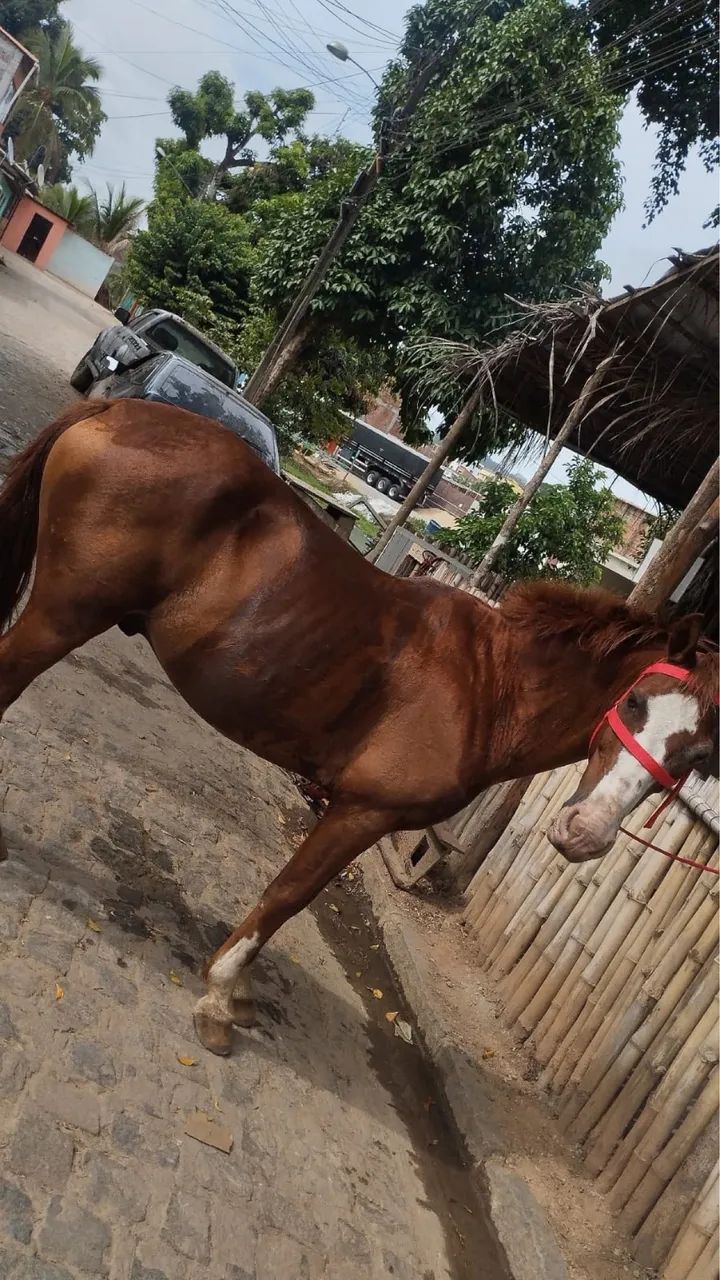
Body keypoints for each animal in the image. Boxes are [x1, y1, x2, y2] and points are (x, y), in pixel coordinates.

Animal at [0, 399, 716, 1056]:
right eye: (635, 702)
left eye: (699, 754)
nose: (585, 833)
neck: (490, 684)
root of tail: (117, 408)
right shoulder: (363, 811)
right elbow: (289, 894)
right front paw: (221, 997)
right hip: (62, 618)